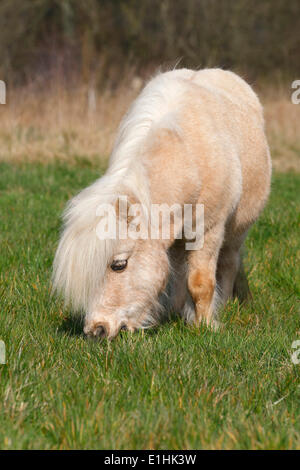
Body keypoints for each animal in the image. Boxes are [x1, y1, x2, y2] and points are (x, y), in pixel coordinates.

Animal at [52, 67, 272, 338]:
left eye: (119, 265)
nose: (97, 330)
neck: (188, 161)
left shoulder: (209, 231)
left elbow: (201, 282)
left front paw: (205, 324)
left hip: (236, 230)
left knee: (230, 260)